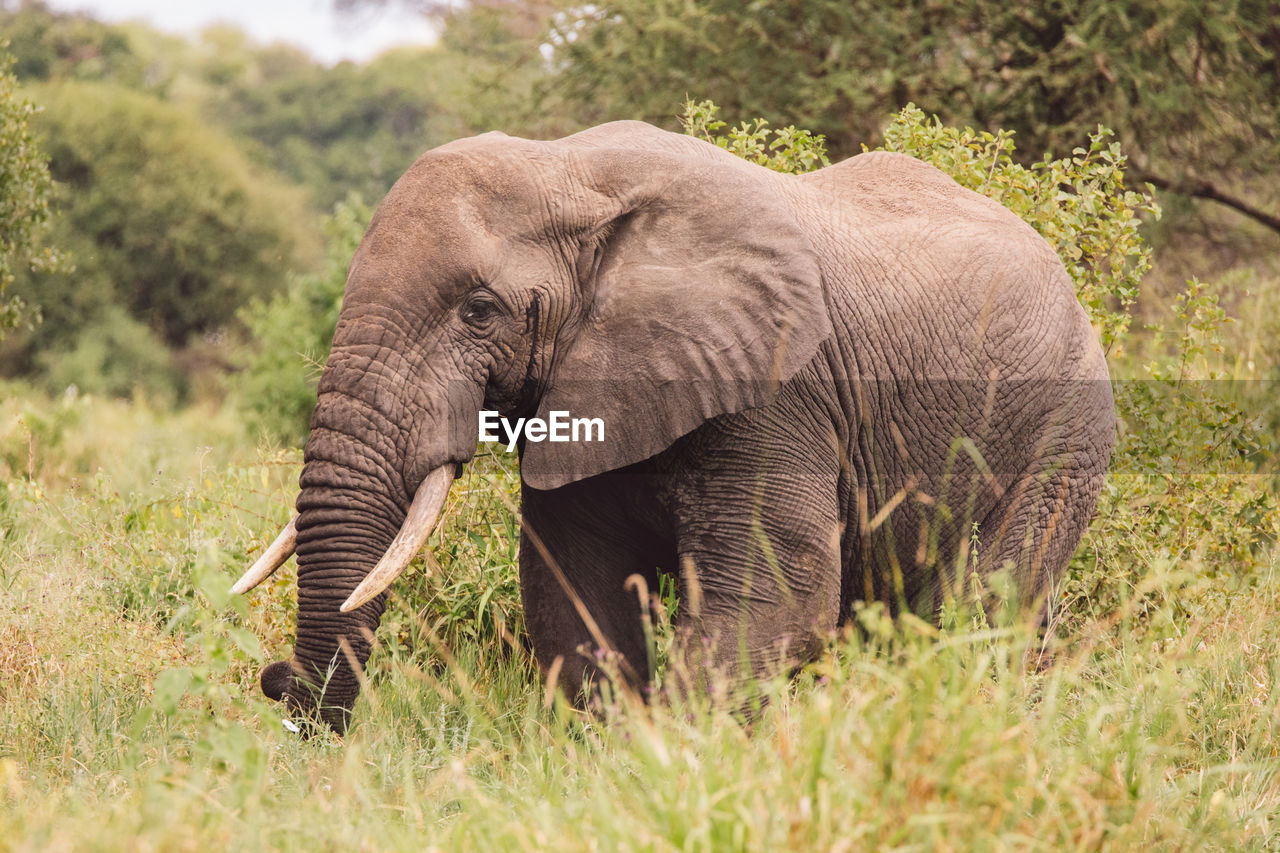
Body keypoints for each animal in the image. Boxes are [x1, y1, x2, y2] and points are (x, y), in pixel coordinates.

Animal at [230, 119, 1111, 732]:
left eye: (479, 311)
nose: (279, 686)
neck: (566, 171)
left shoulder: (776, 391)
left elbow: (775, 602)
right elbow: (571, 592)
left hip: (1065, 432)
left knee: (983, 607)